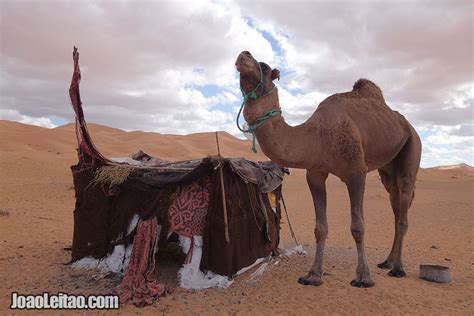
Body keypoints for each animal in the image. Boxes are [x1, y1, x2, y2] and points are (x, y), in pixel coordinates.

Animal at [235, 50, 420, 288]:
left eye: (265, 68)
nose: (244, 54)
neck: (317, 135)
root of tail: (407, 125)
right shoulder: (314, 174)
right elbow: (320, 228)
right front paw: (313, 275)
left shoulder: (356, 172)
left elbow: (358, 227)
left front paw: (363, 277)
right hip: (388, 168)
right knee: (396, 204)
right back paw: (387, 262)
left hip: (412, 145)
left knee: (404, 205)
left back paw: (397, 268)